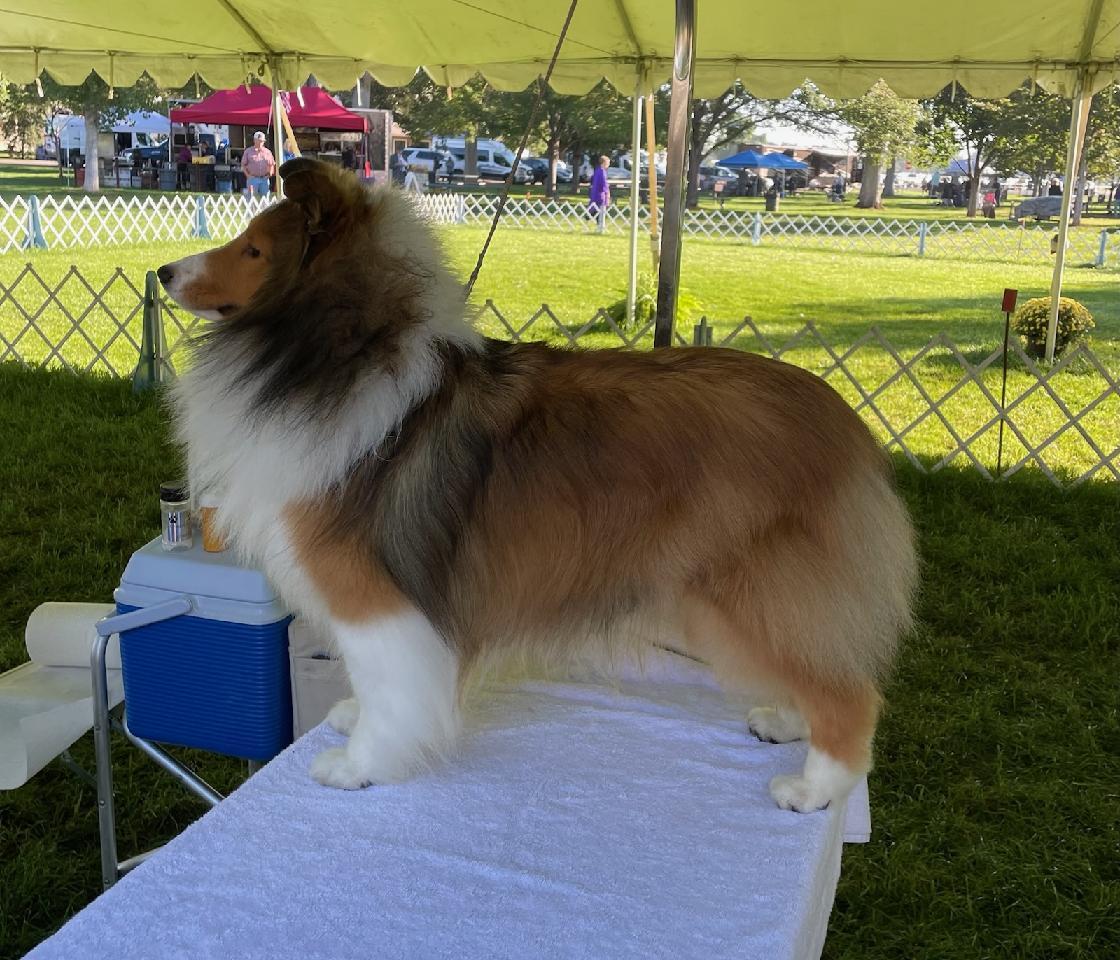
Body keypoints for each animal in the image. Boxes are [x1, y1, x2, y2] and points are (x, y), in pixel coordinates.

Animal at [158, 158, 917, 812]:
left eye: (255, 249)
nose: (163, 270)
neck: (345, 351)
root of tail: (844, 423)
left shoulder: (369, 590)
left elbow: (388, 682)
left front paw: (361, 764)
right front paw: (352, 720)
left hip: (750, 586)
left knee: (852, 694)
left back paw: (814, 787)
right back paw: (785, 720)